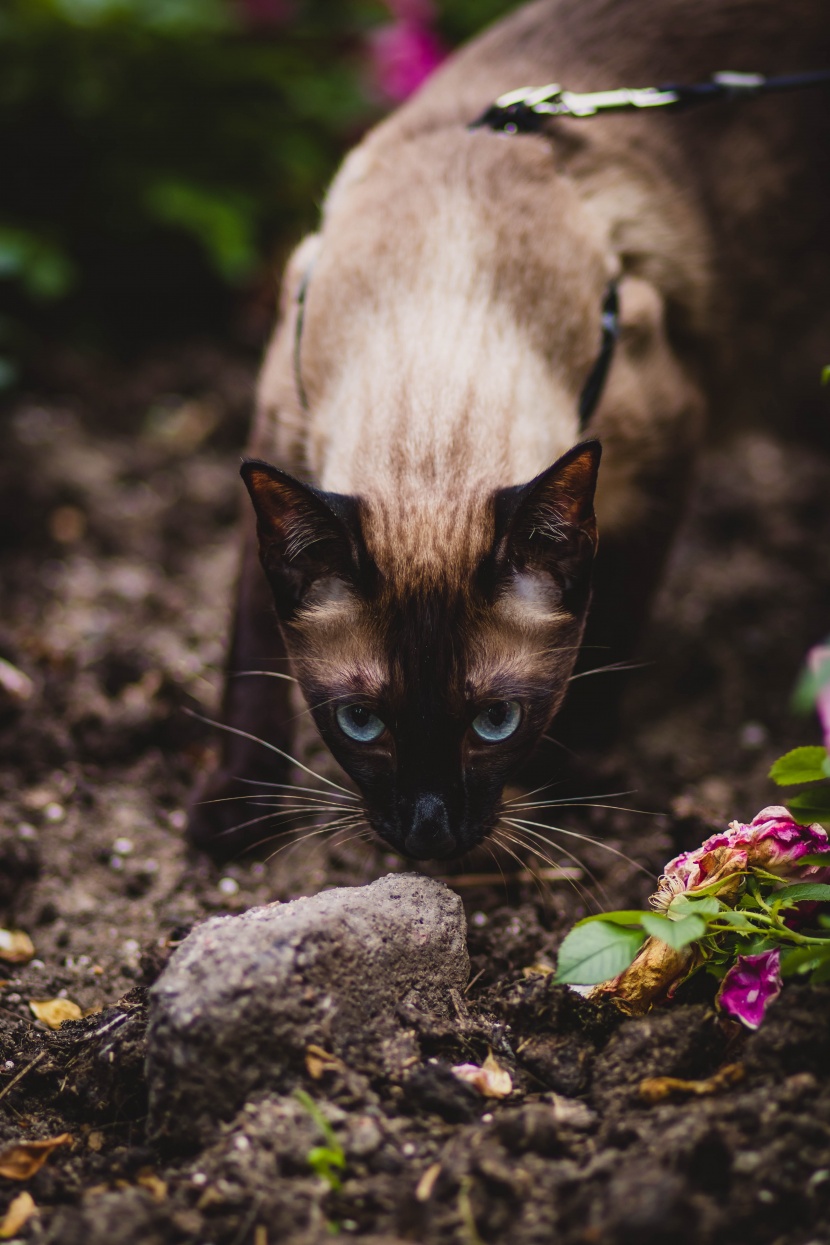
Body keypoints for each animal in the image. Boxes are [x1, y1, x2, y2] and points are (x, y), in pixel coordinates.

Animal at [186, 0, 830, 856]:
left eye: (497, 722)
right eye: (361, 722)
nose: (429, 833)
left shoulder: (666, 455)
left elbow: (612, 627)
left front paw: (569, 778)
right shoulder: (275, 433)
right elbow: (250, 650)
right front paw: (238, 808)